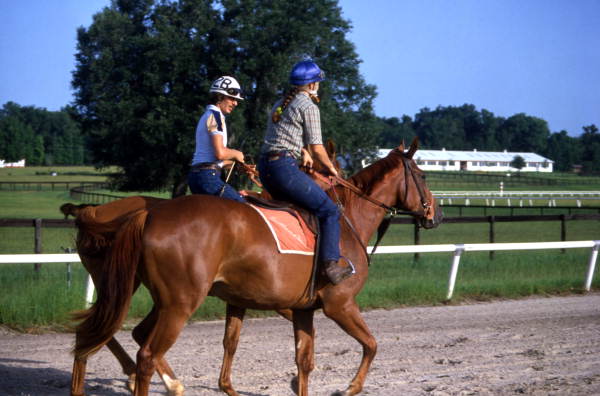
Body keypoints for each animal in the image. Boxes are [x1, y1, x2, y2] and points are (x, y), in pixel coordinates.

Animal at [72, 139, 442, 396]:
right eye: (423, 175)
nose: (435, 215)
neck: (345, 218)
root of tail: (147, 214)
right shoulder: (340, 305)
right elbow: (371, 344)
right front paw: (350, 386)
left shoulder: (295, 308)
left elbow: (301, 359)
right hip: (177, 303)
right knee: (143, 352)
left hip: (151, 297)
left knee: (97, 335)